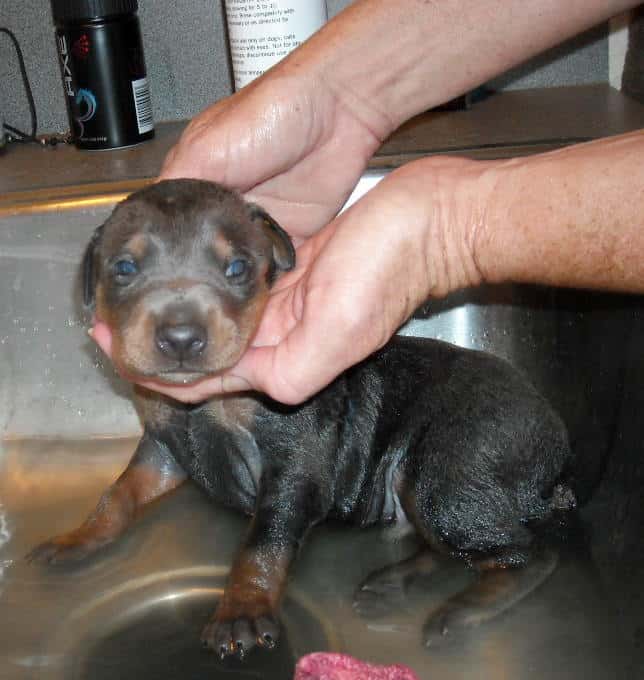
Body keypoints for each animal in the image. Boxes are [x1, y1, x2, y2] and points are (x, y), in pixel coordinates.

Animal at [27, 179, 576, 660]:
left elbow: (263, 539)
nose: (180, 338)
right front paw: (76, 538)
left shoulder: (295, 456)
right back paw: (389, 585)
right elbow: (118, 493)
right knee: (454, 546)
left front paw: (242, 610)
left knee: (526, 553)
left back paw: (459, 614)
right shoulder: (163, 445)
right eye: (123, 267)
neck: (201, 405)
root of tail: (555, 452)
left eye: (237, 267)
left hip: (453, 471)